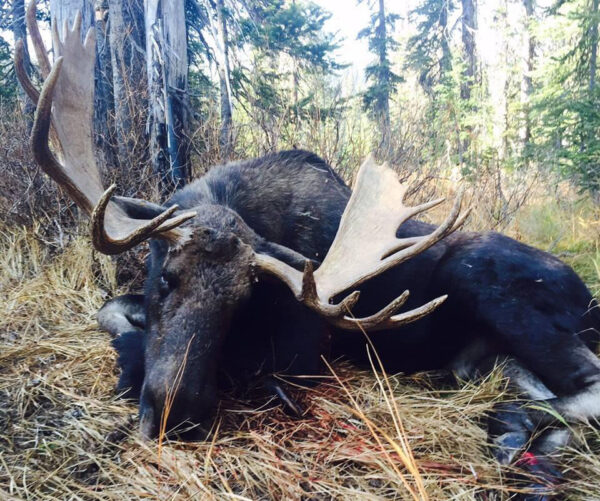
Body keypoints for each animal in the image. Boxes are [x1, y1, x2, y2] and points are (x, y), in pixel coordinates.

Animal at [14, 2, 600, 496]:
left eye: (242, 301)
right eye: (165, 277)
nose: (177, 414)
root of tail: (587, 297)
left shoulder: (300, 357)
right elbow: (109, 309)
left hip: (485, 281)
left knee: (583, 381)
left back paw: (512, 429)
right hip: (484, 354)